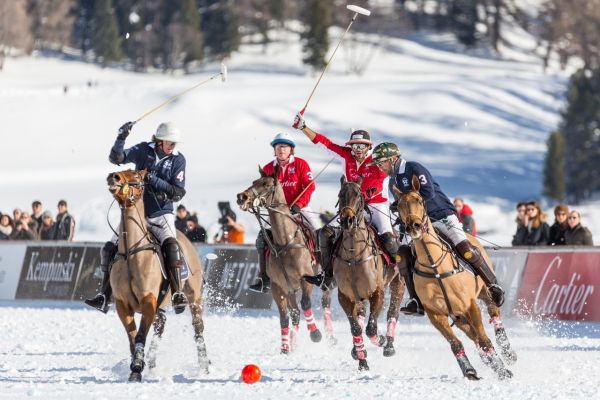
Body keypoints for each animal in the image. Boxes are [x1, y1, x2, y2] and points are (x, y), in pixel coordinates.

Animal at [106, 169, 210, 382]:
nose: (113, 176)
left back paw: (204, 365)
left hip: (193, 296)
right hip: (162, 305)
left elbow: (140, 336)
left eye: (137, 176)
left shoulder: (148, 300)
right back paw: (152, 365)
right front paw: (137, 366)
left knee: (198, 327)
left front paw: (137, 368)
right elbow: (133, 337)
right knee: (160, 327)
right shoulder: (122, 304)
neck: (131, 252)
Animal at [237, 167, 330, 354]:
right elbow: (284, 317)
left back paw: (331, 337)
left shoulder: (305, 279)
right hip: (290, 289)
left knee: (325, 303)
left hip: (320, 283)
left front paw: (315, 334)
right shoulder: (278, 286)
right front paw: (285, 348)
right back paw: (293, 343)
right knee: (295, 313)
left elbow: (306, 303)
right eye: (253, 182)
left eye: (266, 184)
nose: (241, 197)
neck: (285, 241)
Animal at [336, 178, 406, 372]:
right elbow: (356, 329)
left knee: (392, 312)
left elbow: (371, 329)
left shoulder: (377, 292)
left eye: (359, 196)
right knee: (361, 316)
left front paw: (380, 340)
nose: (347, 220)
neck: (354, 255)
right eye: (340, 195)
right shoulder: (345, 296)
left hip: (399, 284)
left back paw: (388, 345)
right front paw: (361, 359)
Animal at [394, 177, 516, 380]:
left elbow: (484, 339)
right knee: (473, 335)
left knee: (493, 312)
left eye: (419, 200)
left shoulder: (470, 305)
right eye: (399, 205)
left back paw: (507, 351)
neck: (435, 266)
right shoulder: (436, 314)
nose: (413, 227)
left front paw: (502, 370)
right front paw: (469, 370)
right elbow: (456, 343)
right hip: (458, 317)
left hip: (483, 292)